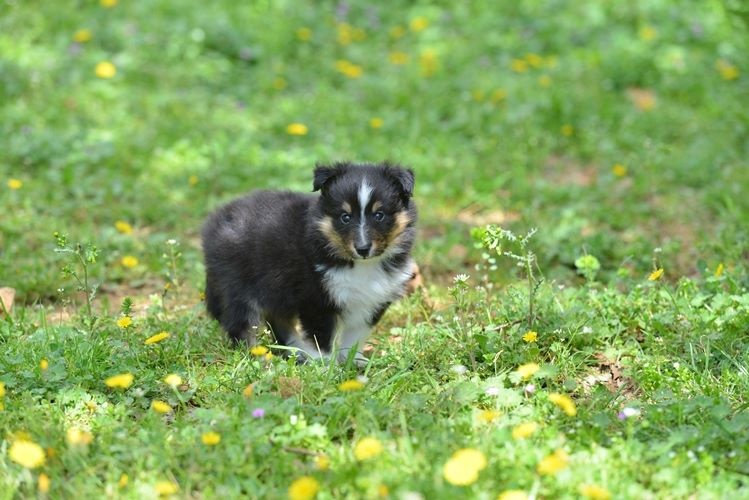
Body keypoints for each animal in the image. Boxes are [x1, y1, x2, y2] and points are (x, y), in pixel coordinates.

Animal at [202, 162, 418, 366]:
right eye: (345, 217)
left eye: (379, 215)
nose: (363, 249)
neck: (360, 265)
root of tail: (215, 221)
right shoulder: (315, 299)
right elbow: (322, 338)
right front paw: (327, 367)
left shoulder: (372, 300)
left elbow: (355, 335)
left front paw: (352, 361)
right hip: (239, 288)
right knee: (241, 326)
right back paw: (261, 359)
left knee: (279, 322)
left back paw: (298, 352)